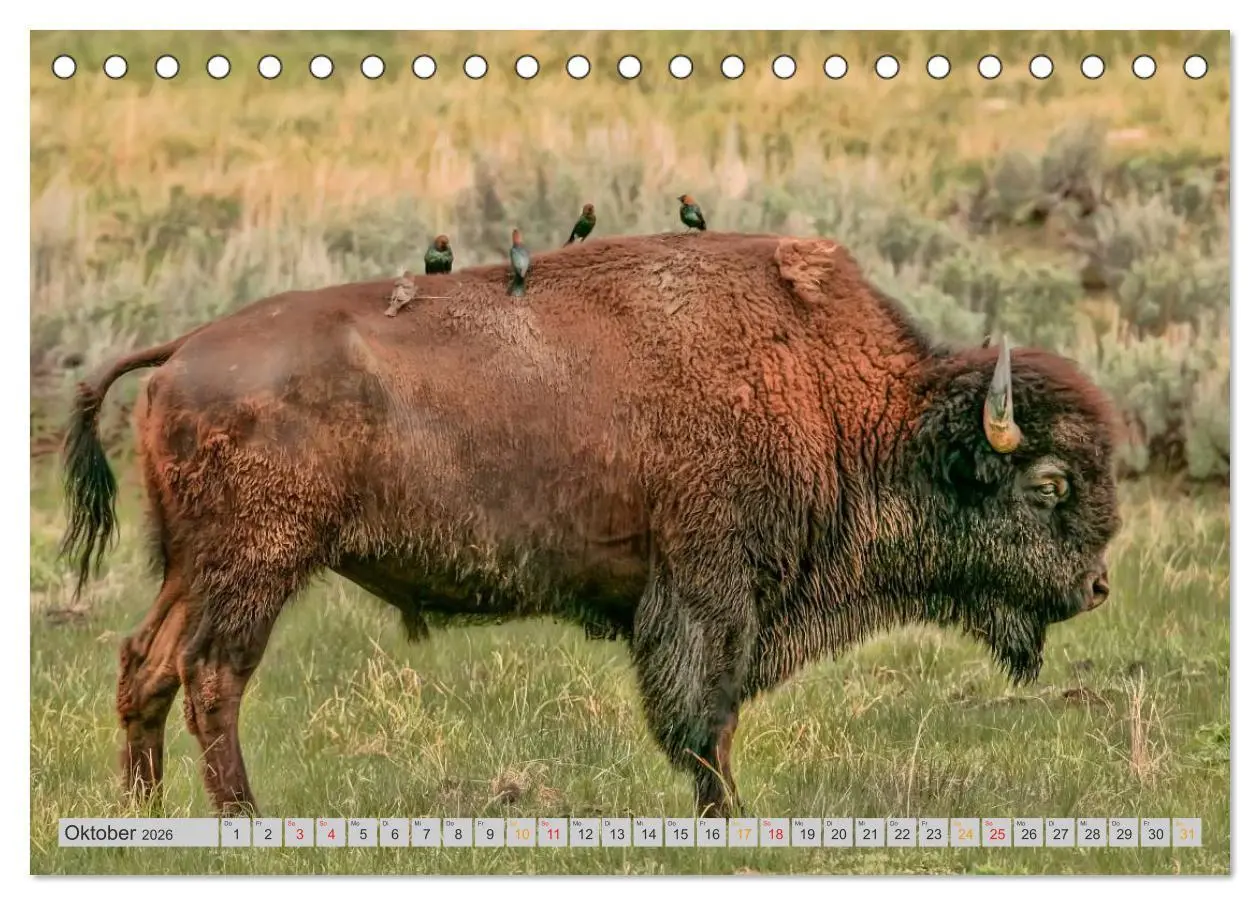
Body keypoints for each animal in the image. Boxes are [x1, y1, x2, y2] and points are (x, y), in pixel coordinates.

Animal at [60, 232, 1120, 817]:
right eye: (1050, 484)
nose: (1099, 586)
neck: (836, 399)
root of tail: (183, 347)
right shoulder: (708, 592)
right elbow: (705, 716)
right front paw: (728, 817)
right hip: (256, 566)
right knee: (212, 675)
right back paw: (245, 818)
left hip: (193, 565)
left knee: (145, 663)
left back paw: (147, 813)